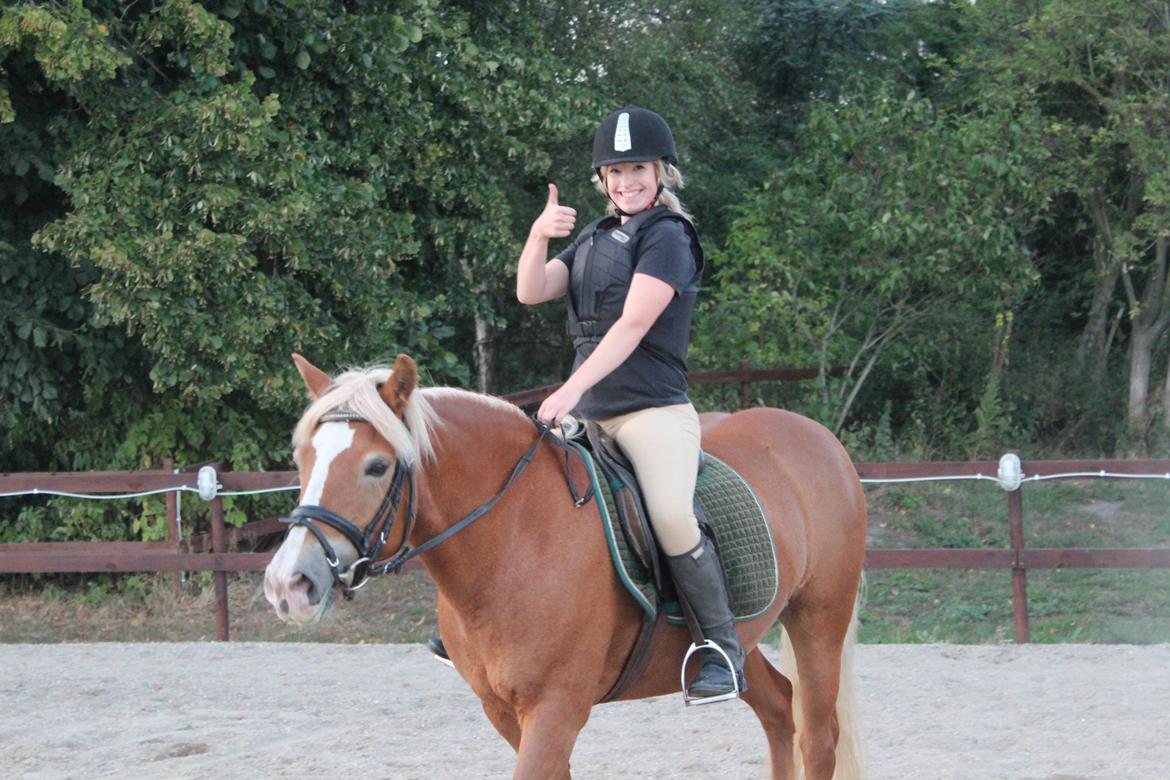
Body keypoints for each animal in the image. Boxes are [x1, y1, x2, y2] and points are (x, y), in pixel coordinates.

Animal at [264, 353, 868, 780]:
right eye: (303, 458)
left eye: (376, 466)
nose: (288, 584)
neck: (512, 536)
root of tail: (817, 436)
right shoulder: (504, 712)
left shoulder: (555, 710)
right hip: (740, 641)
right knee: (779, 710)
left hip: (818, 620)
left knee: (818, 739)